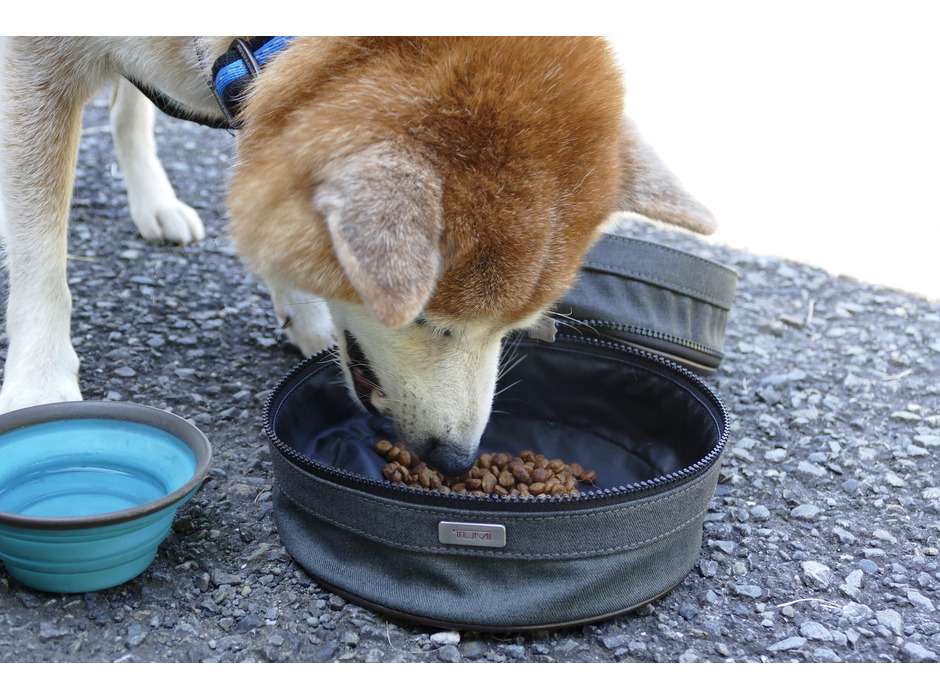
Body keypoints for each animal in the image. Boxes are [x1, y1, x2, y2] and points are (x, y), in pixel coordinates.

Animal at [0, 37, 712, 476]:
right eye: (424, 321)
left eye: (514, 328)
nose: (457, 461)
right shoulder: (36, 64)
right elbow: (42, 260)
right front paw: (39, 382)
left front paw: (304, 315)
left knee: (128, 109)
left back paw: (155, 201)